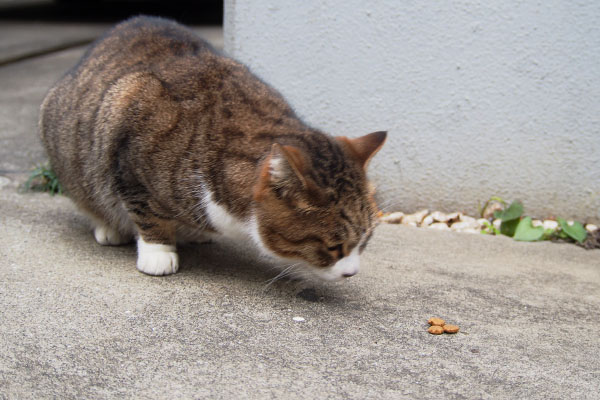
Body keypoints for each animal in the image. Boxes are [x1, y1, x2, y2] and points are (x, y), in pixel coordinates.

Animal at [39, 16, 386, 282]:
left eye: (366, 241)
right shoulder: (130, 138)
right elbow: (146, 211)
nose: (352, 273)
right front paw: (158, 252)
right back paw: (110, 227)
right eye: (334, 247)